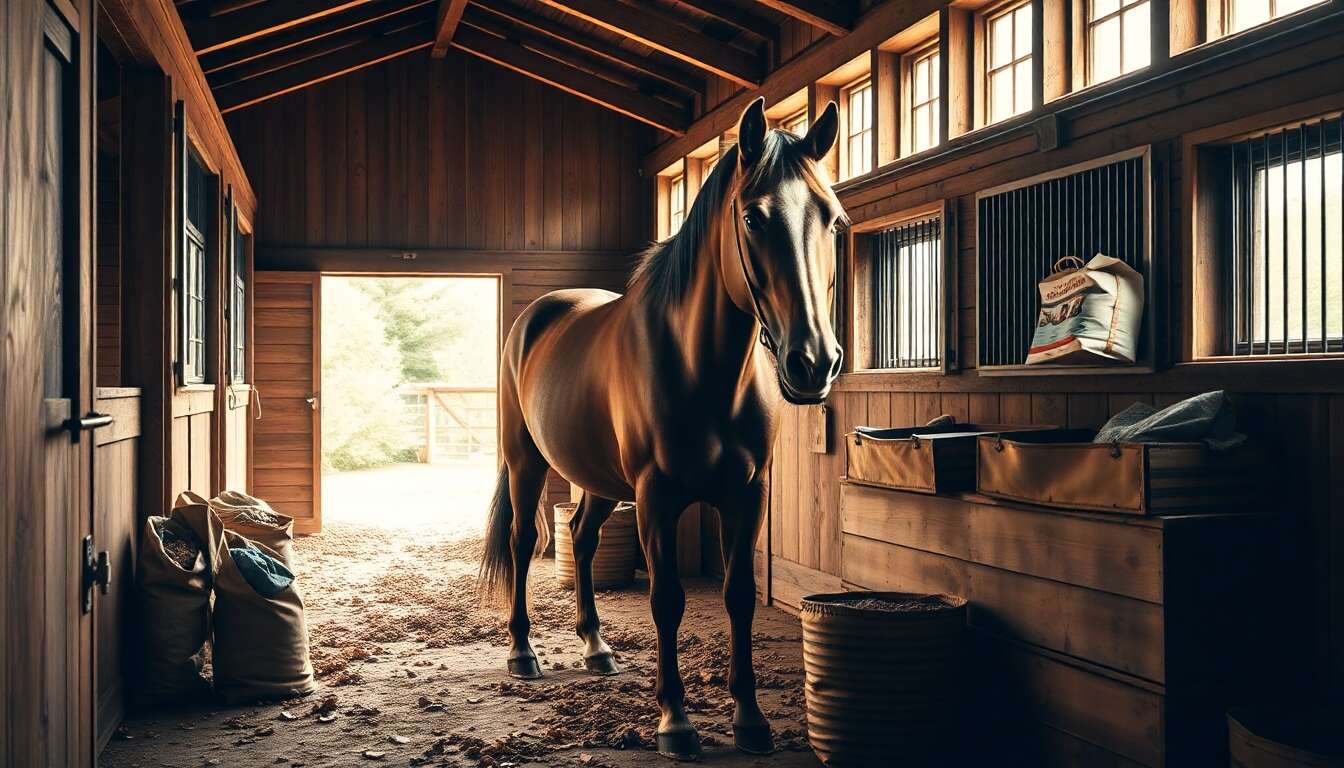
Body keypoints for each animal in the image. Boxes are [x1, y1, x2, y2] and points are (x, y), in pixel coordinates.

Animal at [479, 97, 846, 761]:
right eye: (752, 217)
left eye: (831, 218)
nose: (814, 362)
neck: (703, 368)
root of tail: (536, 315)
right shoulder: (656, 497)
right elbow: (667, 599)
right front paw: (675, 722)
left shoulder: (747, 495)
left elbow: (739, 594)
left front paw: (750, 719)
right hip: (526, 463)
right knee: (523, 541)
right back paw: (523, 652)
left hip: (598, 479)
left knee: (582, 538)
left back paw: (596, 648)